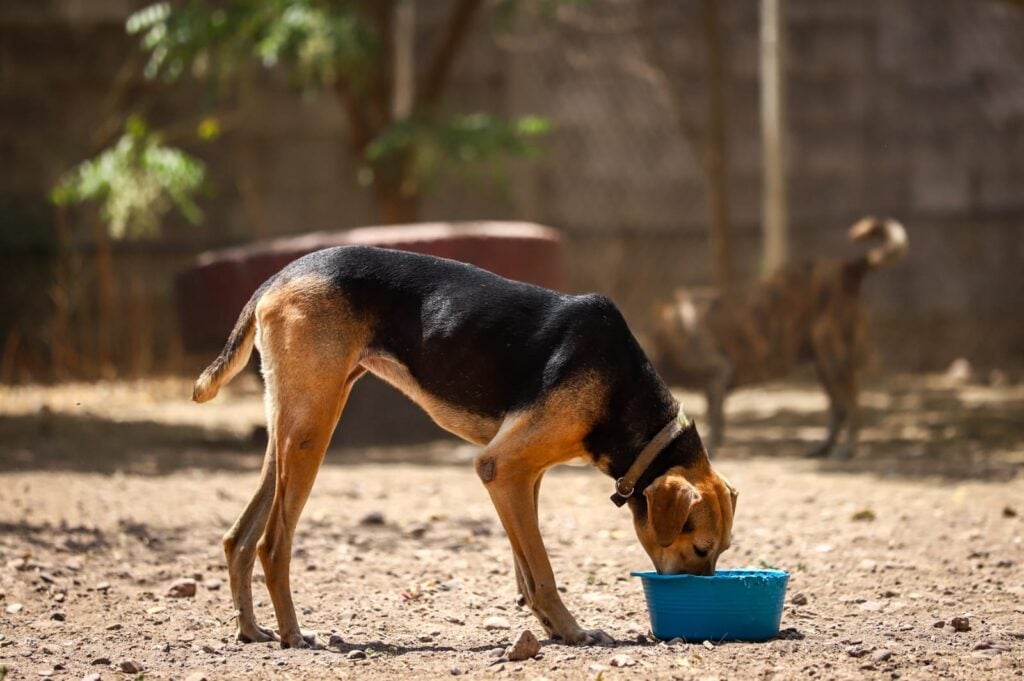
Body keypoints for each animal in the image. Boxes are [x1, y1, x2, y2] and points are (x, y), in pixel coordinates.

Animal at [192, 245, 737, 647]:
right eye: (701, 548)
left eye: (723, 551)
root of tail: (280, 275)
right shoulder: (502, 467)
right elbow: (542, 571)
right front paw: (572, 630)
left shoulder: (522, 476)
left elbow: (526, 567)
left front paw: (549, 627)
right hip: (311, 431)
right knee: (272, 543)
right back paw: (292, 634)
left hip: (288, 429)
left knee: (238, 538)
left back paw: (252, 630)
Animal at [651, 216, 909, 462]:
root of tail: (847, 268)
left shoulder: (717, 374)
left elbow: (715, 421)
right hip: (824, 367)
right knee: (838, 410)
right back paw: (823, 449)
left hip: (835, 363)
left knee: (855, 409)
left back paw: (845, 451)